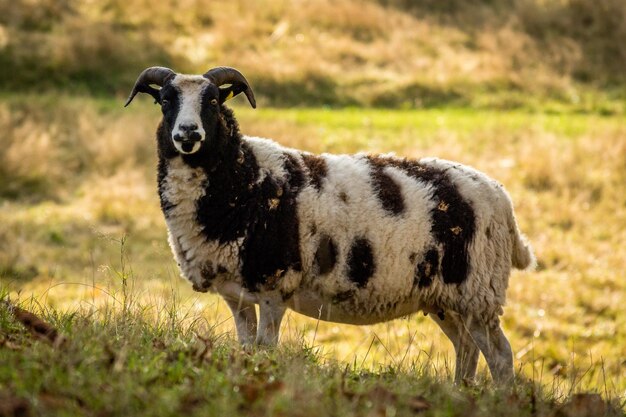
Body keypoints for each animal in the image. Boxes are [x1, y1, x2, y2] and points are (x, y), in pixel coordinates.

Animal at [125, 66, 532, 384]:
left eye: (212, 102)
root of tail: (502, 199)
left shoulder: (275, 285)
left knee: (500, 355)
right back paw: (460, 392)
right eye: (165, 101)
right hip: (446, 297)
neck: (245, 177)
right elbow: (246, 349)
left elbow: (266, 350)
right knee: (466, 348)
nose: (188, 135)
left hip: (478, 291)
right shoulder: (236, 294)